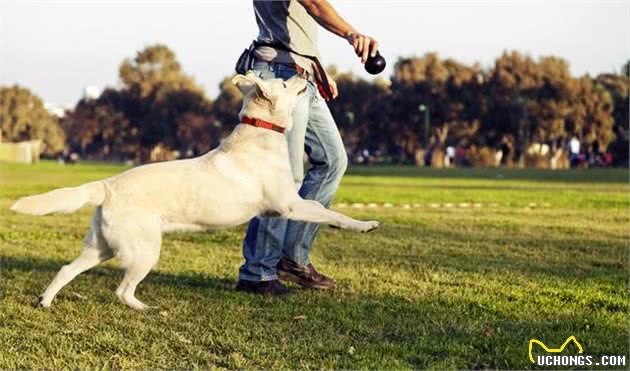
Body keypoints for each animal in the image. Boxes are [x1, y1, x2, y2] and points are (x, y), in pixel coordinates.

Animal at [11, 71, 380, 310]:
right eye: (286, 83)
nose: (305, 73)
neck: (260, 133)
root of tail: (107, 185)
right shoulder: (290, 205)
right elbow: (329, 212)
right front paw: (364, 225)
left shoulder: (288, 206)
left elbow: (322, 213)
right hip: (143, 251)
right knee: (122, 290)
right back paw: (145, 308)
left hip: (101, 248)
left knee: (66, 269)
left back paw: (45, 301)